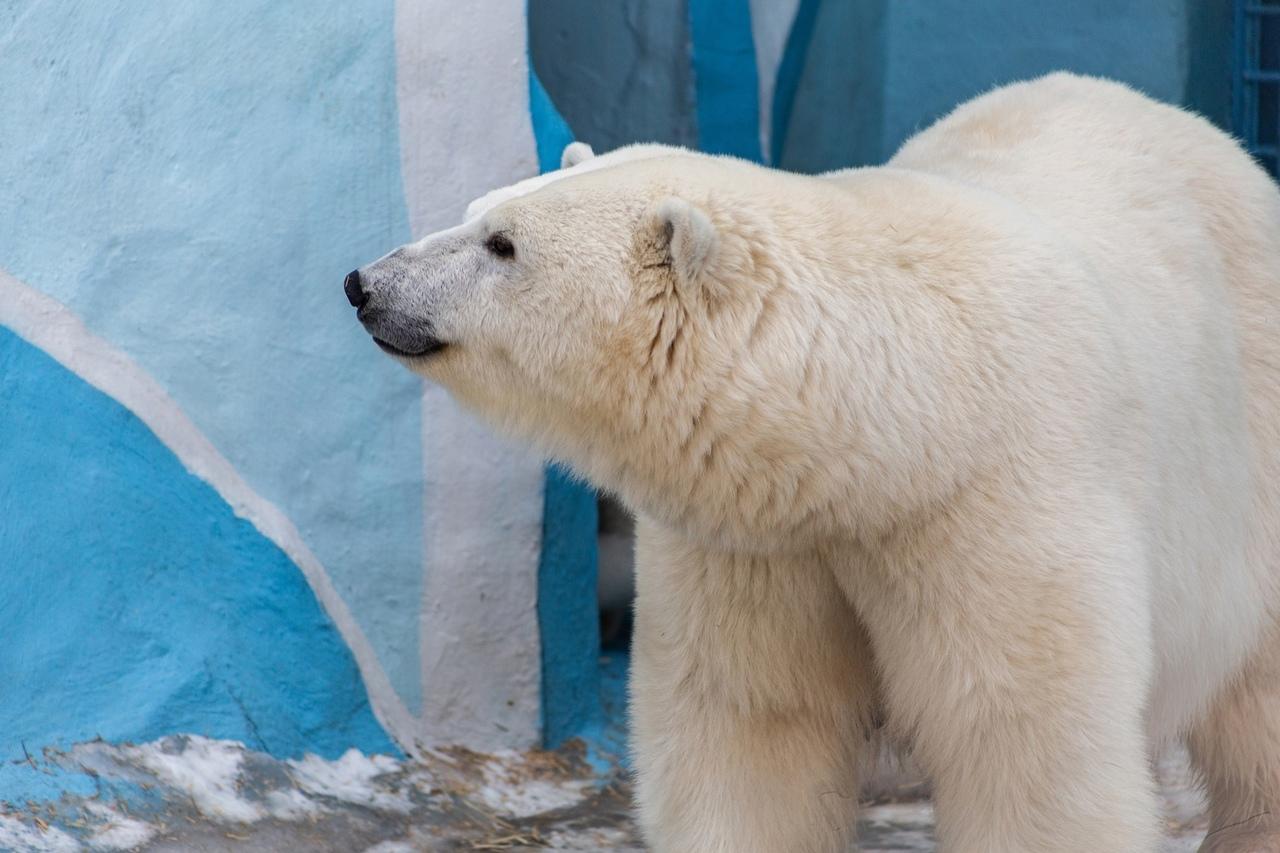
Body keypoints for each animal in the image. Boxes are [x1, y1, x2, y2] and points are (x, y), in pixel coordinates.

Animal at [345, 74, 1280, 850]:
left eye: (501, 244)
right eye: (476, 208)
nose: (365, 283)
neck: (894, 427)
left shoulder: (997, 504)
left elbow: (1023, 737)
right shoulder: (759, 538)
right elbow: (750, 723)